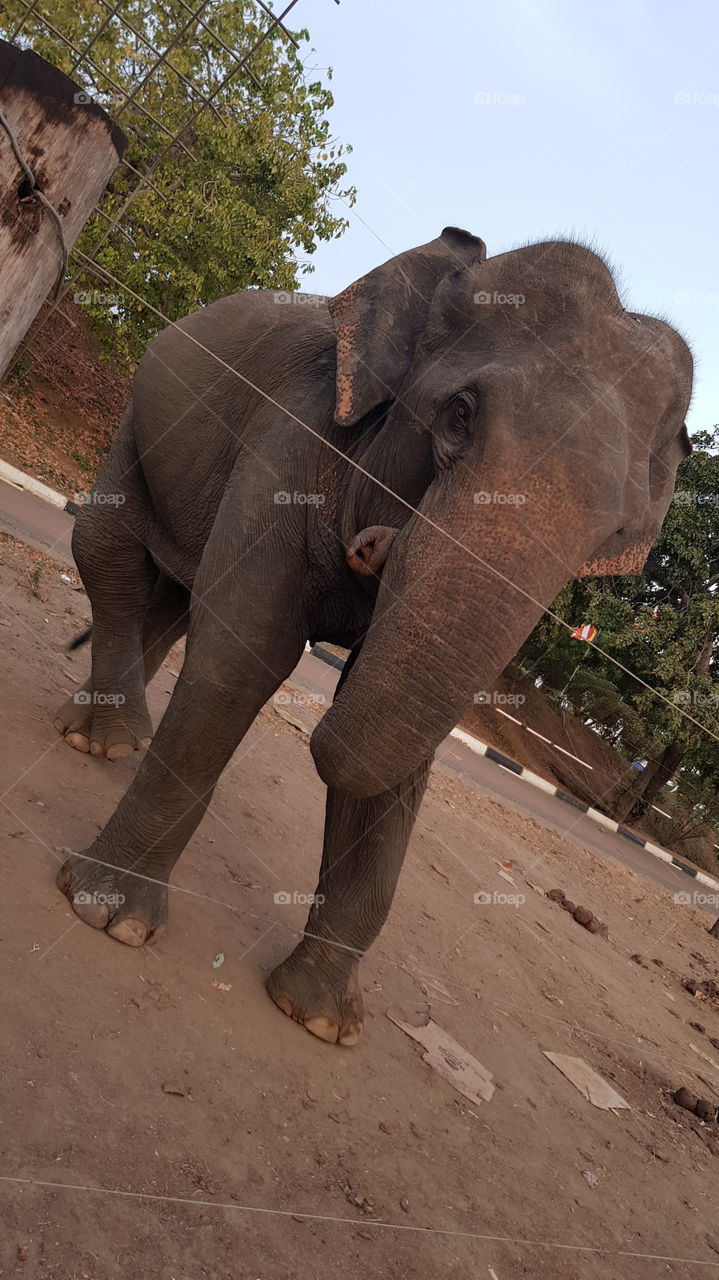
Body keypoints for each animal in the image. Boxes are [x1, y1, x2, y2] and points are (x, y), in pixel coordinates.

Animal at [54, 228, 692, 1045]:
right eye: (458, 415)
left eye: (615, 533)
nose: (371, 547)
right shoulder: (291, 440)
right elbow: (245, 655)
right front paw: (111, 918)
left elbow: (403, 743)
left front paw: (322, 1020)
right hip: (139, 417)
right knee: (109, 554)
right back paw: (103, 741)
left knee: (174, 594)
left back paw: (120, 734)